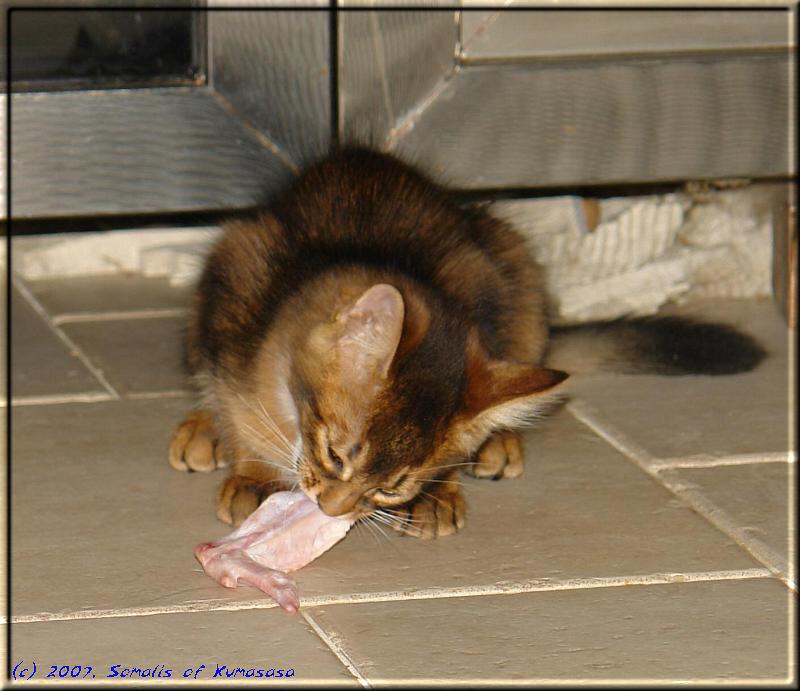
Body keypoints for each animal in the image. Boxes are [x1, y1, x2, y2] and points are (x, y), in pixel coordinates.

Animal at [166, 147, 764, 540]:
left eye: (393, 487)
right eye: (335, 454)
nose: (332, 510)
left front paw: (439, 492)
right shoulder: (232, 322)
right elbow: (239, 411)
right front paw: (254, 473)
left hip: (517, 271)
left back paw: (501, 442)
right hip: (229, 256)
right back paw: (202, 430)